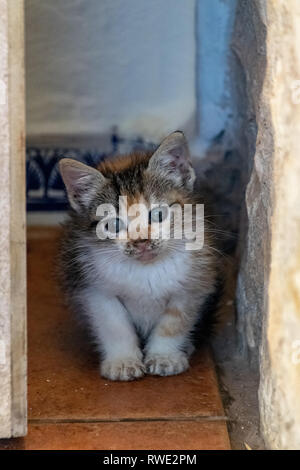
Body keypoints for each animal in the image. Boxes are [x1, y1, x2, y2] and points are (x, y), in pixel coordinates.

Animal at [58, 130, 219, 380]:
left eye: (159, 214)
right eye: (113, 224)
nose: (141, 242)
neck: (146, 269)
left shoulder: (194, 283)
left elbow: (174, 322)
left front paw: (164, 356)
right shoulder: (92, 287)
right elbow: (114, 324)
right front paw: (123, 361)